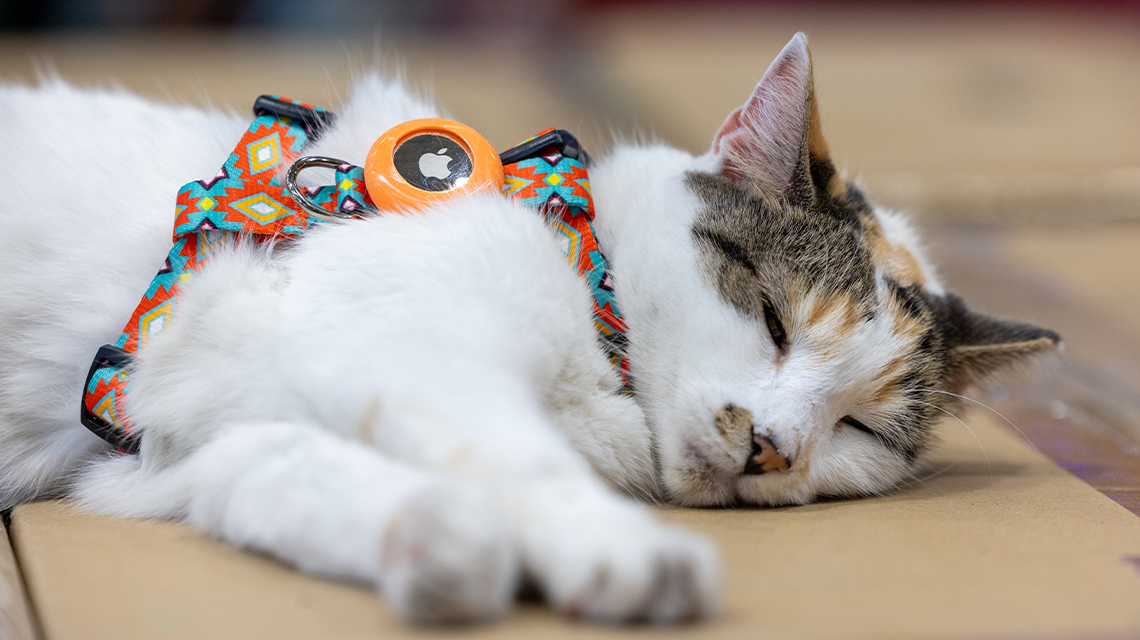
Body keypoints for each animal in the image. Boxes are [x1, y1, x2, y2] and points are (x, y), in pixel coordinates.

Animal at [0, 33, 1058, 625]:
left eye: (859, 431)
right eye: (770, 317)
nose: (771, 447)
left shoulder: (185, 455)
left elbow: (290, 481)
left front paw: (438, 548)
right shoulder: (407, 356)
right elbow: (519, 457)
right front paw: (624, 554)